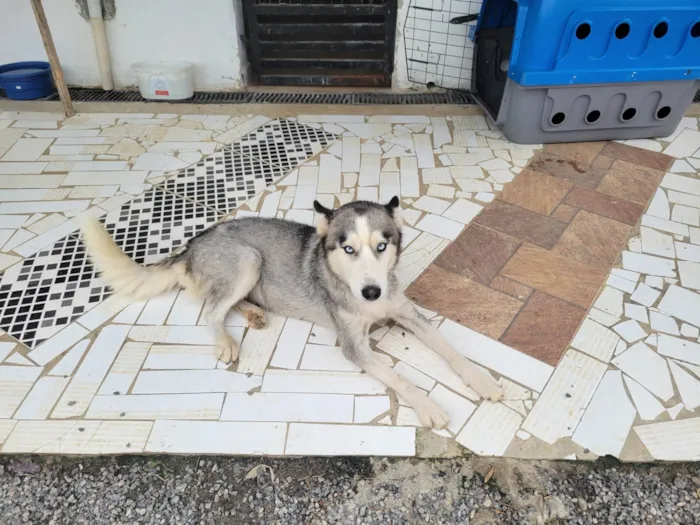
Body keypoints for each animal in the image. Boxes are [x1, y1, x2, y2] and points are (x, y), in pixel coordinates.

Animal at [82, 196, 504, 426]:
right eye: (348, 248)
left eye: (381, 246)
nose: (371, 292)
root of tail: (192, 244)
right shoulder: (353, 346)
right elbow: (401, 379)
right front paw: (429, 406)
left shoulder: (407, 312)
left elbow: (451, 351)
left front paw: (481, 379)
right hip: (247, 261)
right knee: (210, 310)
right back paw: (224, 341)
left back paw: (253, 313)